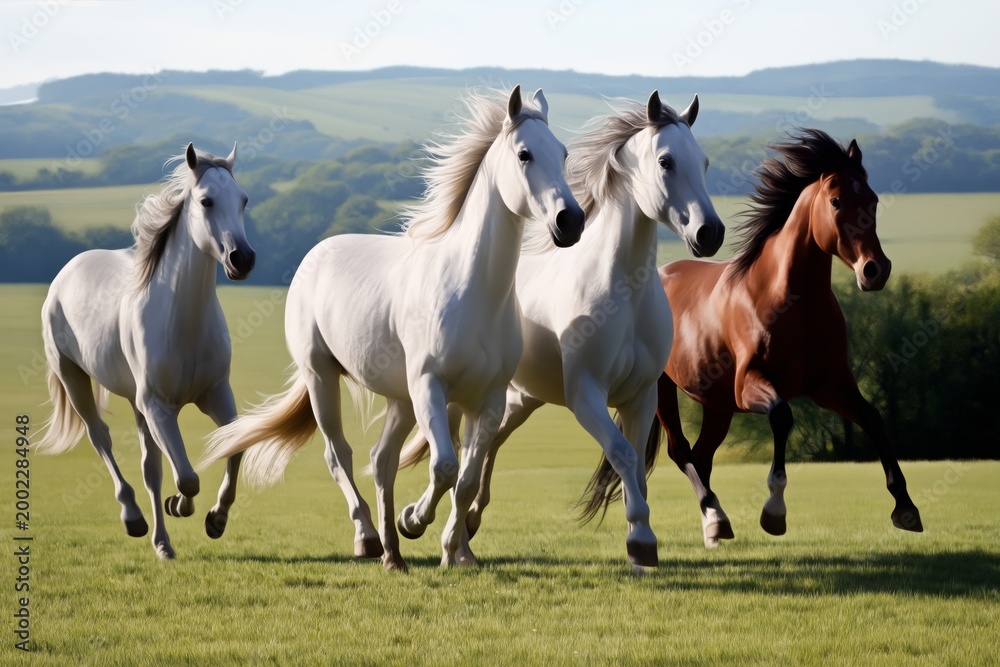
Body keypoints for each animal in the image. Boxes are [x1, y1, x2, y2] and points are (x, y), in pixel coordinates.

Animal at [37, 143, 256, 559]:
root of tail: (69, 269)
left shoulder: (215, 394)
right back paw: (135, 519)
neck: (182, 322)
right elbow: (187, 477)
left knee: (150, 468)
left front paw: (216, 519)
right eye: (206, 201)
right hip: (75, 379)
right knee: (101, 438)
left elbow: (235, 448)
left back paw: (163, 543)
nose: (243, 259)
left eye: (244, 200)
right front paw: (182, 505)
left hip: (137, 405)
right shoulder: (159, 407)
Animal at [202, 86, 585, 571]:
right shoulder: (430, 387)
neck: (472, 289)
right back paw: (369, 538)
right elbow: (444, 467)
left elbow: (465, 478)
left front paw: (454, 553)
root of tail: (315, 255)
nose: (570, 221)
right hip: (322, 376)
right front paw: (414, 521)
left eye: (563, 152)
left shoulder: (488, 399)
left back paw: (393, 555)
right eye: (524, 154)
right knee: (340, 455)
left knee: (381, 460)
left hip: (400, 400)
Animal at [397, 92, 725, 568]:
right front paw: (641, 540)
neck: (624, 291)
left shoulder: (641, 397)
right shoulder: (586, 394)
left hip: (519, 399)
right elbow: (623, 454)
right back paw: (425, 523)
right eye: (666, 161)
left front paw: (641, 542)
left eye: (703, 162)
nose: (710, 232)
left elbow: (638, 470)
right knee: (460, 454)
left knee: (486, 447)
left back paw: (464, 533)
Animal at [584, 129, 923, 548]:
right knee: (683, 452)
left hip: (717, 403)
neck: (789, 302)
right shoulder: (751, 386)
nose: (875, 270)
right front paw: (774, 511)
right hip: (662, 389)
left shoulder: (830, 386)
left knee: (702, 455)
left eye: (873, 199)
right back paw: (715, 518)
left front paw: (905, 508)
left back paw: (714, 523)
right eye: (836, 200)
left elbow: (874, 419)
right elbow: (783, 416)